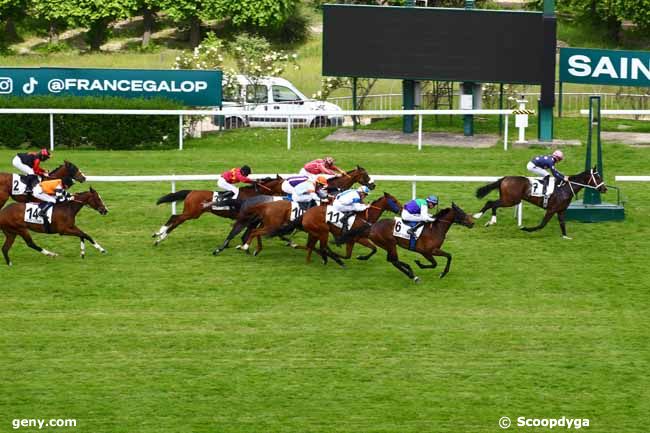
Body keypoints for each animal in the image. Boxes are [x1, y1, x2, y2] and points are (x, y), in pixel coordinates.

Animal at [153, 175, 284, 243]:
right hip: (192, 213)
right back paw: (159, 234)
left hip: (192, 213)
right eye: (284, 183)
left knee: (177, 220)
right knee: (175, 217)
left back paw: (160, 237)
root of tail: (191, 192)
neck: (254, 194)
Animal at [342, 203, 474, 282]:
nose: (472, 223)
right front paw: (420, 264)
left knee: (392, 260)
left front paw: (442, 273)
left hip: (387, 245)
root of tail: (372, 226)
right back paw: (412, 275)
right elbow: (436, 263)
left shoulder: (432, 251)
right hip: (390, 243)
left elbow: (448, 256)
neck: (436, 229)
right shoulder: (427, 252)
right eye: (461, 213)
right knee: (394, 260)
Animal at [474, 167, 604, 238]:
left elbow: (562, 223)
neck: (565, 188)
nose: (604, 189)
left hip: (508, 199)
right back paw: (482, 217)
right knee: (491, 203)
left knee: (491, 203)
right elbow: (542, 224)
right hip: (510, 200)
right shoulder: (551, 209)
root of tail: (504, 178)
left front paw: (565, 236)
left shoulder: (561, 210)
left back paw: (488, 220)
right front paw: (525, 228)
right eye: (598, 178)